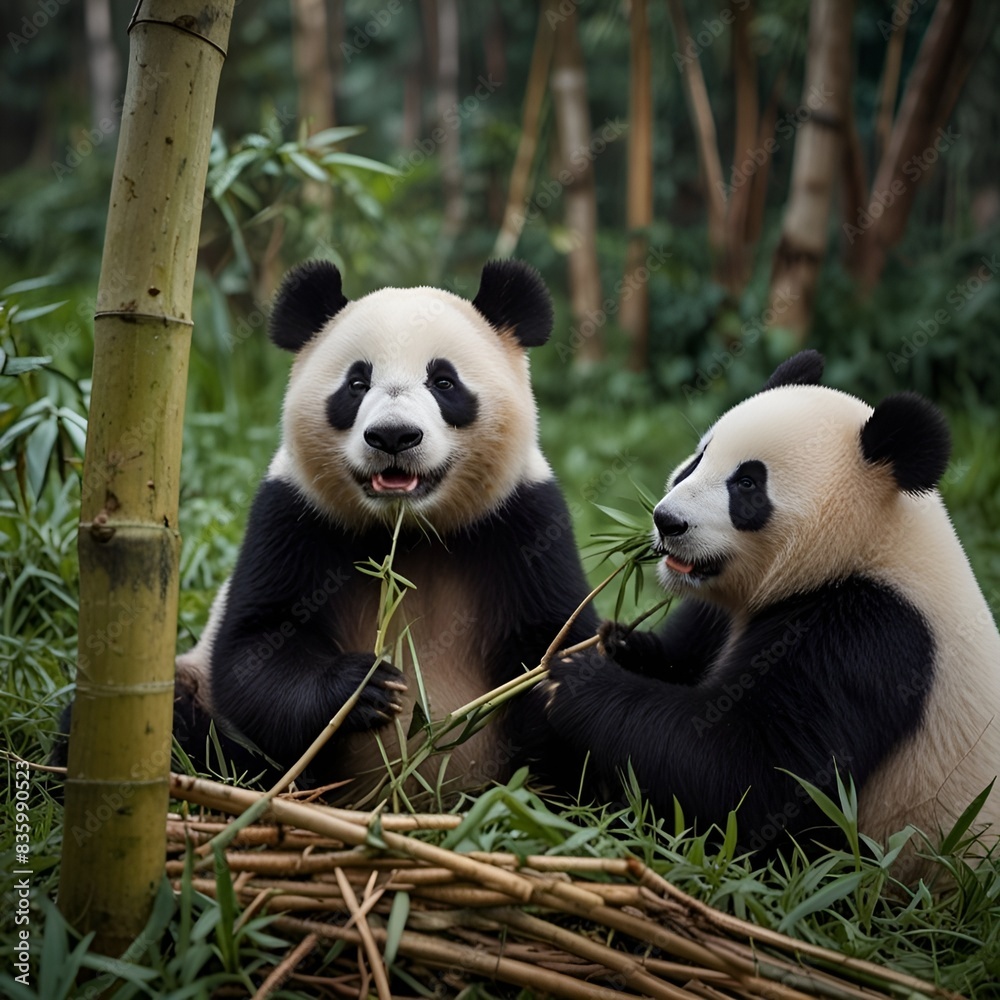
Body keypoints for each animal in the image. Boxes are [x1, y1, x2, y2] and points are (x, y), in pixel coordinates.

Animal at [164, 259, 596, 800]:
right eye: (356, 384)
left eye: (444, 382)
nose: (393, 435)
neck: (409, 531)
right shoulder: (292, 516)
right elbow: (255, 647)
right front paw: (364, 686)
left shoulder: (525, 521)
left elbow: (555, 637)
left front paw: (559, 691)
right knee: (180, 723)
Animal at [544, 351, 1000, 867]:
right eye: (697, 459)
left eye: (747, 484)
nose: (667, 521)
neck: (870, 542)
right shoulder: (724, 610)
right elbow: (683, 656)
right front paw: (616, 644)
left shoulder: (872, 634)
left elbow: (751, 779)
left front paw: (576, 677)